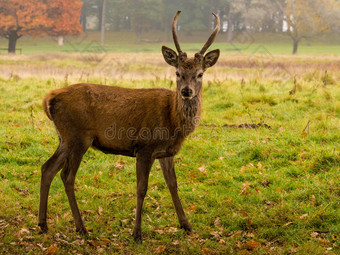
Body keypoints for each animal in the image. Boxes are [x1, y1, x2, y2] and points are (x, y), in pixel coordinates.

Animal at [38, 10, 220, 241]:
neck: (172, 121)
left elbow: (173, 184)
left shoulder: (166, 152)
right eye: (177, 73)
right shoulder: (144, 147)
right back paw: (81, 228)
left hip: (64, 138)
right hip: (78, 136)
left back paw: (43, 224)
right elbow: (141, 188)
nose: (186, 91)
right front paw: (137, 233)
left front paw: (187, 225)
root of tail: (50, 98)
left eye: (200, 74)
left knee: (47, 168)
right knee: (67, 176)